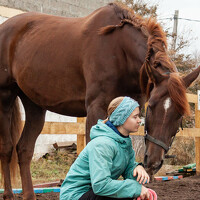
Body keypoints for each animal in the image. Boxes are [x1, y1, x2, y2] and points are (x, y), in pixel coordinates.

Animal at [0, 1, 200, 200]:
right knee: (7, 147)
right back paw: (9, 194)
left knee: (24, 149)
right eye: (150, 107)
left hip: (34, 104)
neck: (120, 51)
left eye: (180, 115)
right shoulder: (96, 108)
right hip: (6, 97)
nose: (152, 162)